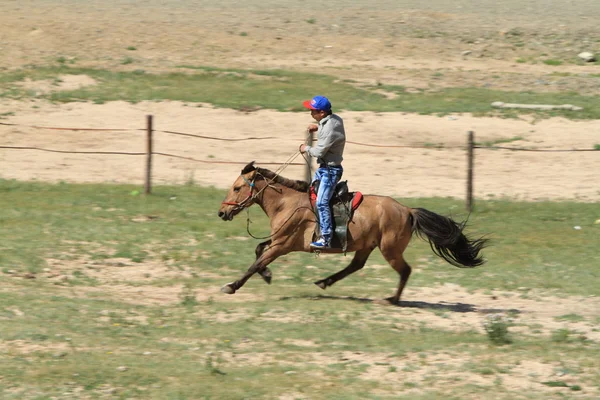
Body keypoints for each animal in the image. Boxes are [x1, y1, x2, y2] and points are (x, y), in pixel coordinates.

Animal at [217, 161, 488, 304]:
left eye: (237, 188)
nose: (222, 212)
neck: (288, 203)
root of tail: (407, 210)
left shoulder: (281, 245)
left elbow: (255, 262)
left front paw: (232, 286)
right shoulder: (277, 242)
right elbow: (258, 251)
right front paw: (267, 275)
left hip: (390, 250)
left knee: (405, 270)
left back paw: (393, 299)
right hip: (367, 246)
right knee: (356, 266)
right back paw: (325, 281)